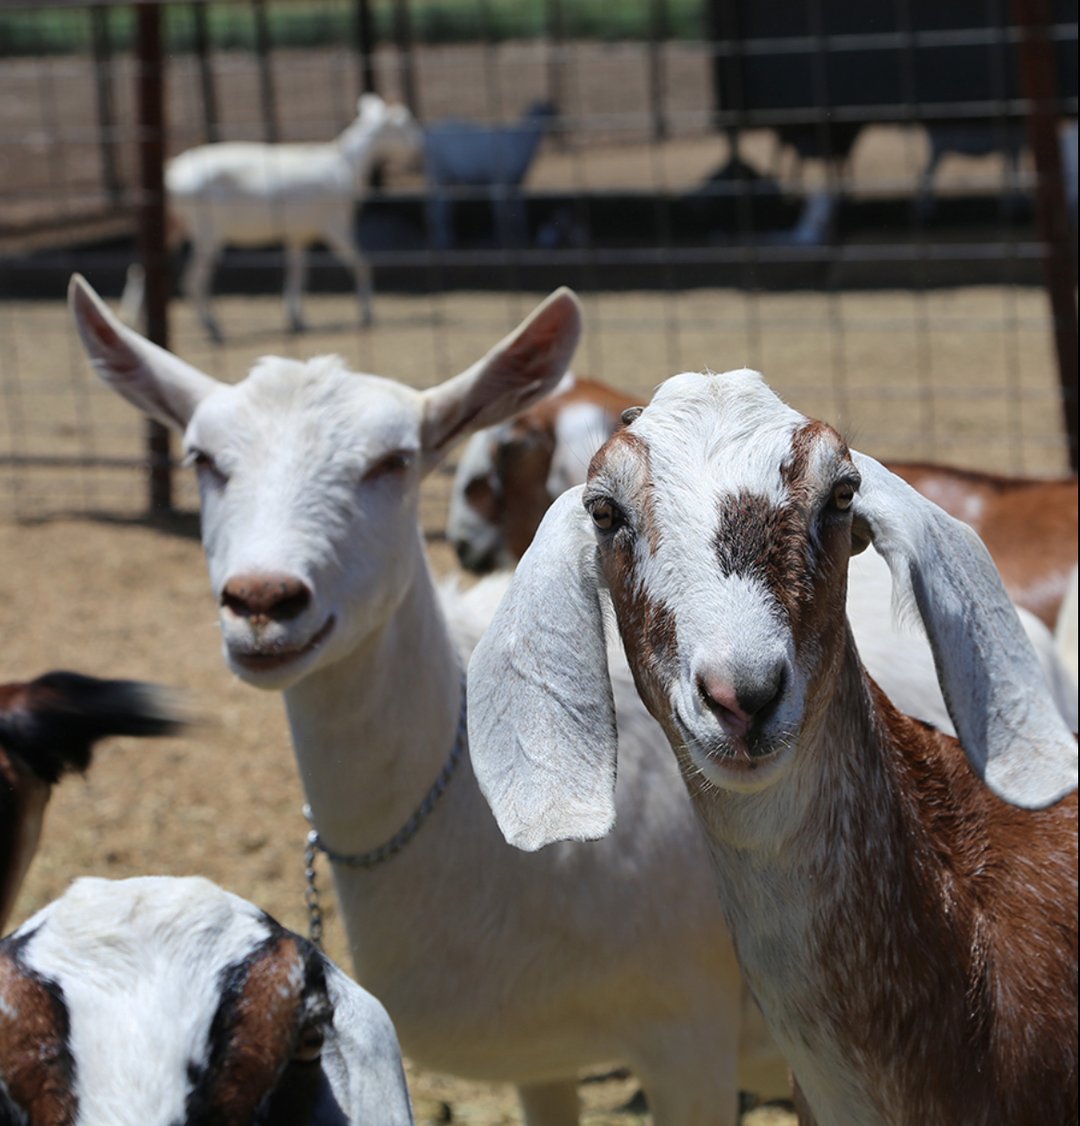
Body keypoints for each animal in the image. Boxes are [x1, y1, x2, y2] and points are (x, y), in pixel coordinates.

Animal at [146, 94, 421, 342]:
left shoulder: (297, 234)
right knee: (191, 281)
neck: (344, 162)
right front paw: (367, 314)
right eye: (405, 122)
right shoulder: (335, 224)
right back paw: (213, 328)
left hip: (172, 227)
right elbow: (360, 262)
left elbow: (297, 272)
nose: (419, 148)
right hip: (206, 232)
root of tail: (172, 176)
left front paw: (298, 320)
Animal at [424, 101, 555, 249]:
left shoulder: (515, 183)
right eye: (551, 110)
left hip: (444, 179)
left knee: (442, 205)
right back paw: (443, 241)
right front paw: (502, 240)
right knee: (439, 207)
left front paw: (521, 239)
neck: (520, 140)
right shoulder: (500, 182)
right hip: (440, 175)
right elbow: (501, 212)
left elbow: (519, 211)